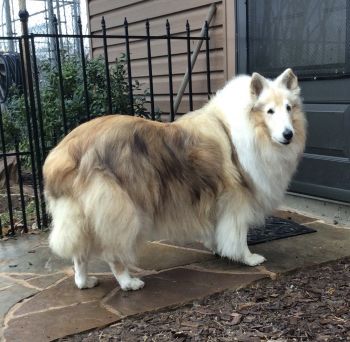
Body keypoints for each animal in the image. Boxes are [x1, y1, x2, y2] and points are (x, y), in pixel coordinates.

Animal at [43, 69, 306, 292]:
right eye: (269, 111)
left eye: (289, 108)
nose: (288, 135)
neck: (244, 128)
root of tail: (63, 153)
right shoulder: (236, 200)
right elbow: (238, 235)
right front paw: (248, 258)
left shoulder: (216, 201)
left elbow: (217, 230)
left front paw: (217, 248)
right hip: (121, 213)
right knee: (113, 253)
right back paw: (128, 282)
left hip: (81, 216)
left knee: (79, 253)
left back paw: (84, 282)